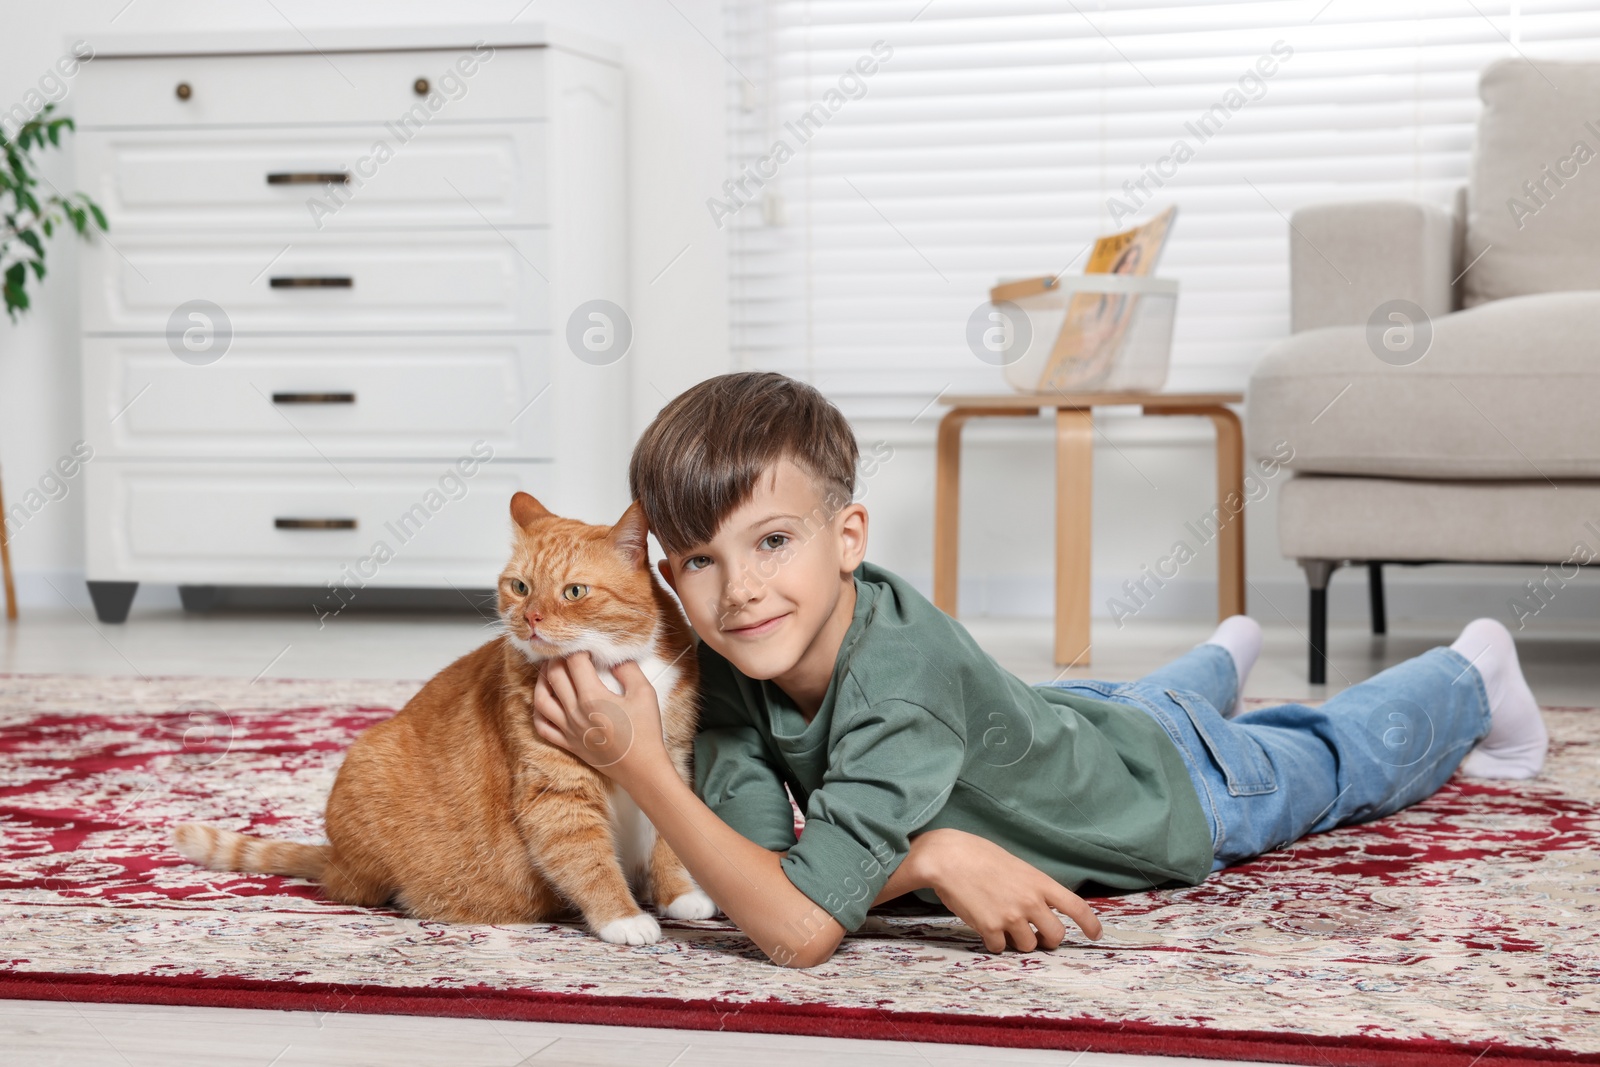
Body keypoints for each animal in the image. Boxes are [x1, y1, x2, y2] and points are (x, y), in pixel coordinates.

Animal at [172, 489, 716, 940]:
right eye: (520, 587)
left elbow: (670, 837)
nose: (530, 618)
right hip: (368, 765)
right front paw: (623, 918)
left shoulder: (668, 759)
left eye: (574, 592)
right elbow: (588, 858)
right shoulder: (556, 788)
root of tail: (335, 858)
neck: (608, 670)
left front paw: (680, 895)